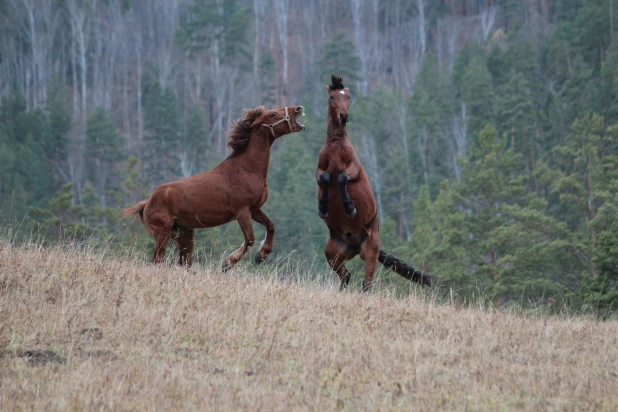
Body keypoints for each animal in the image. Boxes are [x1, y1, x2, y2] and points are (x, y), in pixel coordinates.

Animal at [124, 103, 306, 270]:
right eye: (273, 113)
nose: (298, 108)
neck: (247, 169)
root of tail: (147, 203)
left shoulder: (254, 209)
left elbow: (271, 226)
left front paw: (261, 255)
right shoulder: (242, 211)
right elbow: (250, 238)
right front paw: (228, 262)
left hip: (184, 234)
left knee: (183, 262)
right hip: (163, 233)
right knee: (158, 260)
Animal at [316, 75, 430, 292]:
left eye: (348, 97)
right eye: (333, 97)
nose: (344, 116)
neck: (336, 143)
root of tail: (353, 245)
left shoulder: (354, 170)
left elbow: (341, 178)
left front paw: (350, 208)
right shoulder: (319, 172)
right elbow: (326, 178)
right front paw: (323, 208)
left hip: (371, 254)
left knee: (366, 284)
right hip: (332, 254)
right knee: (346, 276)